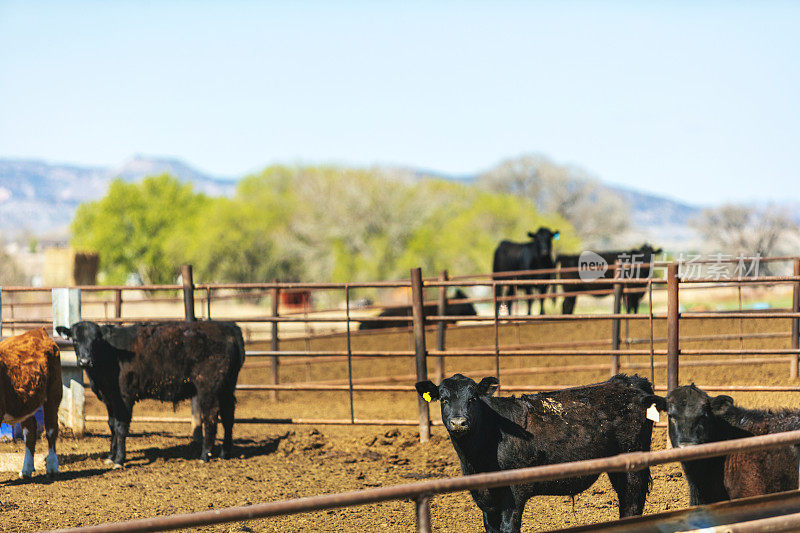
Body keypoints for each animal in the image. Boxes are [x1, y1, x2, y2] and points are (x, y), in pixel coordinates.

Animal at [0, 326, 62, 476]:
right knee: (30, 432)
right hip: (26, 405)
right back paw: (26, 469)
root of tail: (39, 331)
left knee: (51, 428)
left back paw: (52, 467)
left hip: (54, 394)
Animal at [56, 320, 245, 466]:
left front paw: (119, 459)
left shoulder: (124, 397)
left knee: (210, 418)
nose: (84, 361)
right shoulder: (110, 397)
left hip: (209, 388)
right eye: (74, 340)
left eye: (95, 340)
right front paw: (110, 456)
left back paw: (205, 455)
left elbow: (121, 427)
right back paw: (224, 453)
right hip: (227, 386)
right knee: (228, 416)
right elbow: (112, 425)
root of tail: (228, 326)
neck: (109, 354)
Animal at [416, 372, 652, 528]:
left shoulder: (513, 496)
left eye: (472, 398)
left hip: (633, 464)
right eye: (443, 399)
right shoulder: (485, 502)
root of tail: (628, 381)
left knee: (632, 505)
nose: (458, 422)